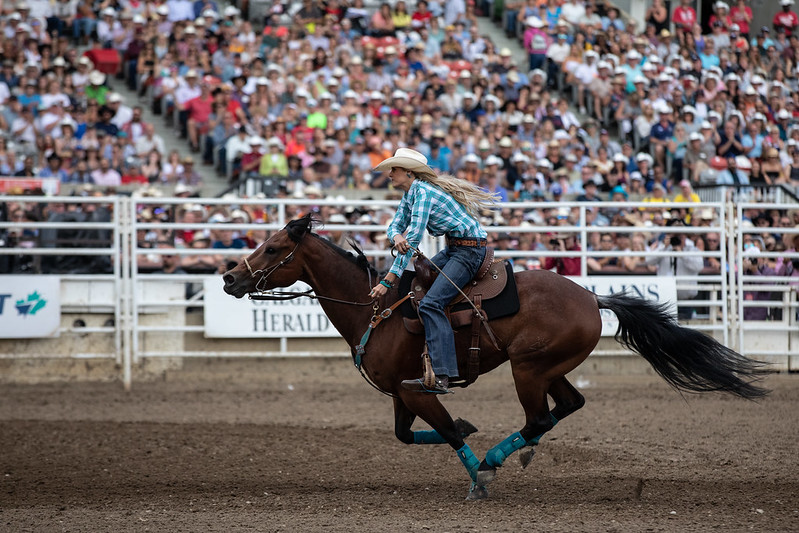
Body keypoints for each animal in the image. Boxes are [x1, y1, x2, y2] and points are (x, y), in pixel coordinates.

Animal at [223, 213, 768, 498]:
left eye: (273, 248)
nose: (229, 278)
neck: (375, 308)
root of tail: (592, 297)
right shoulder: (400, 392)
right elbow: (407, 435)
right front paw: (468, 432)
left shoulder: (417, 390)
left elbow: (445, 431)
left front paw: (476, 474)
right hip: (546, 369)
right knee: (566, 407)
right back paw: (515, 452)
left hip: (528, 369)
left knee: (539, 416)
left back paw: (494, 460)